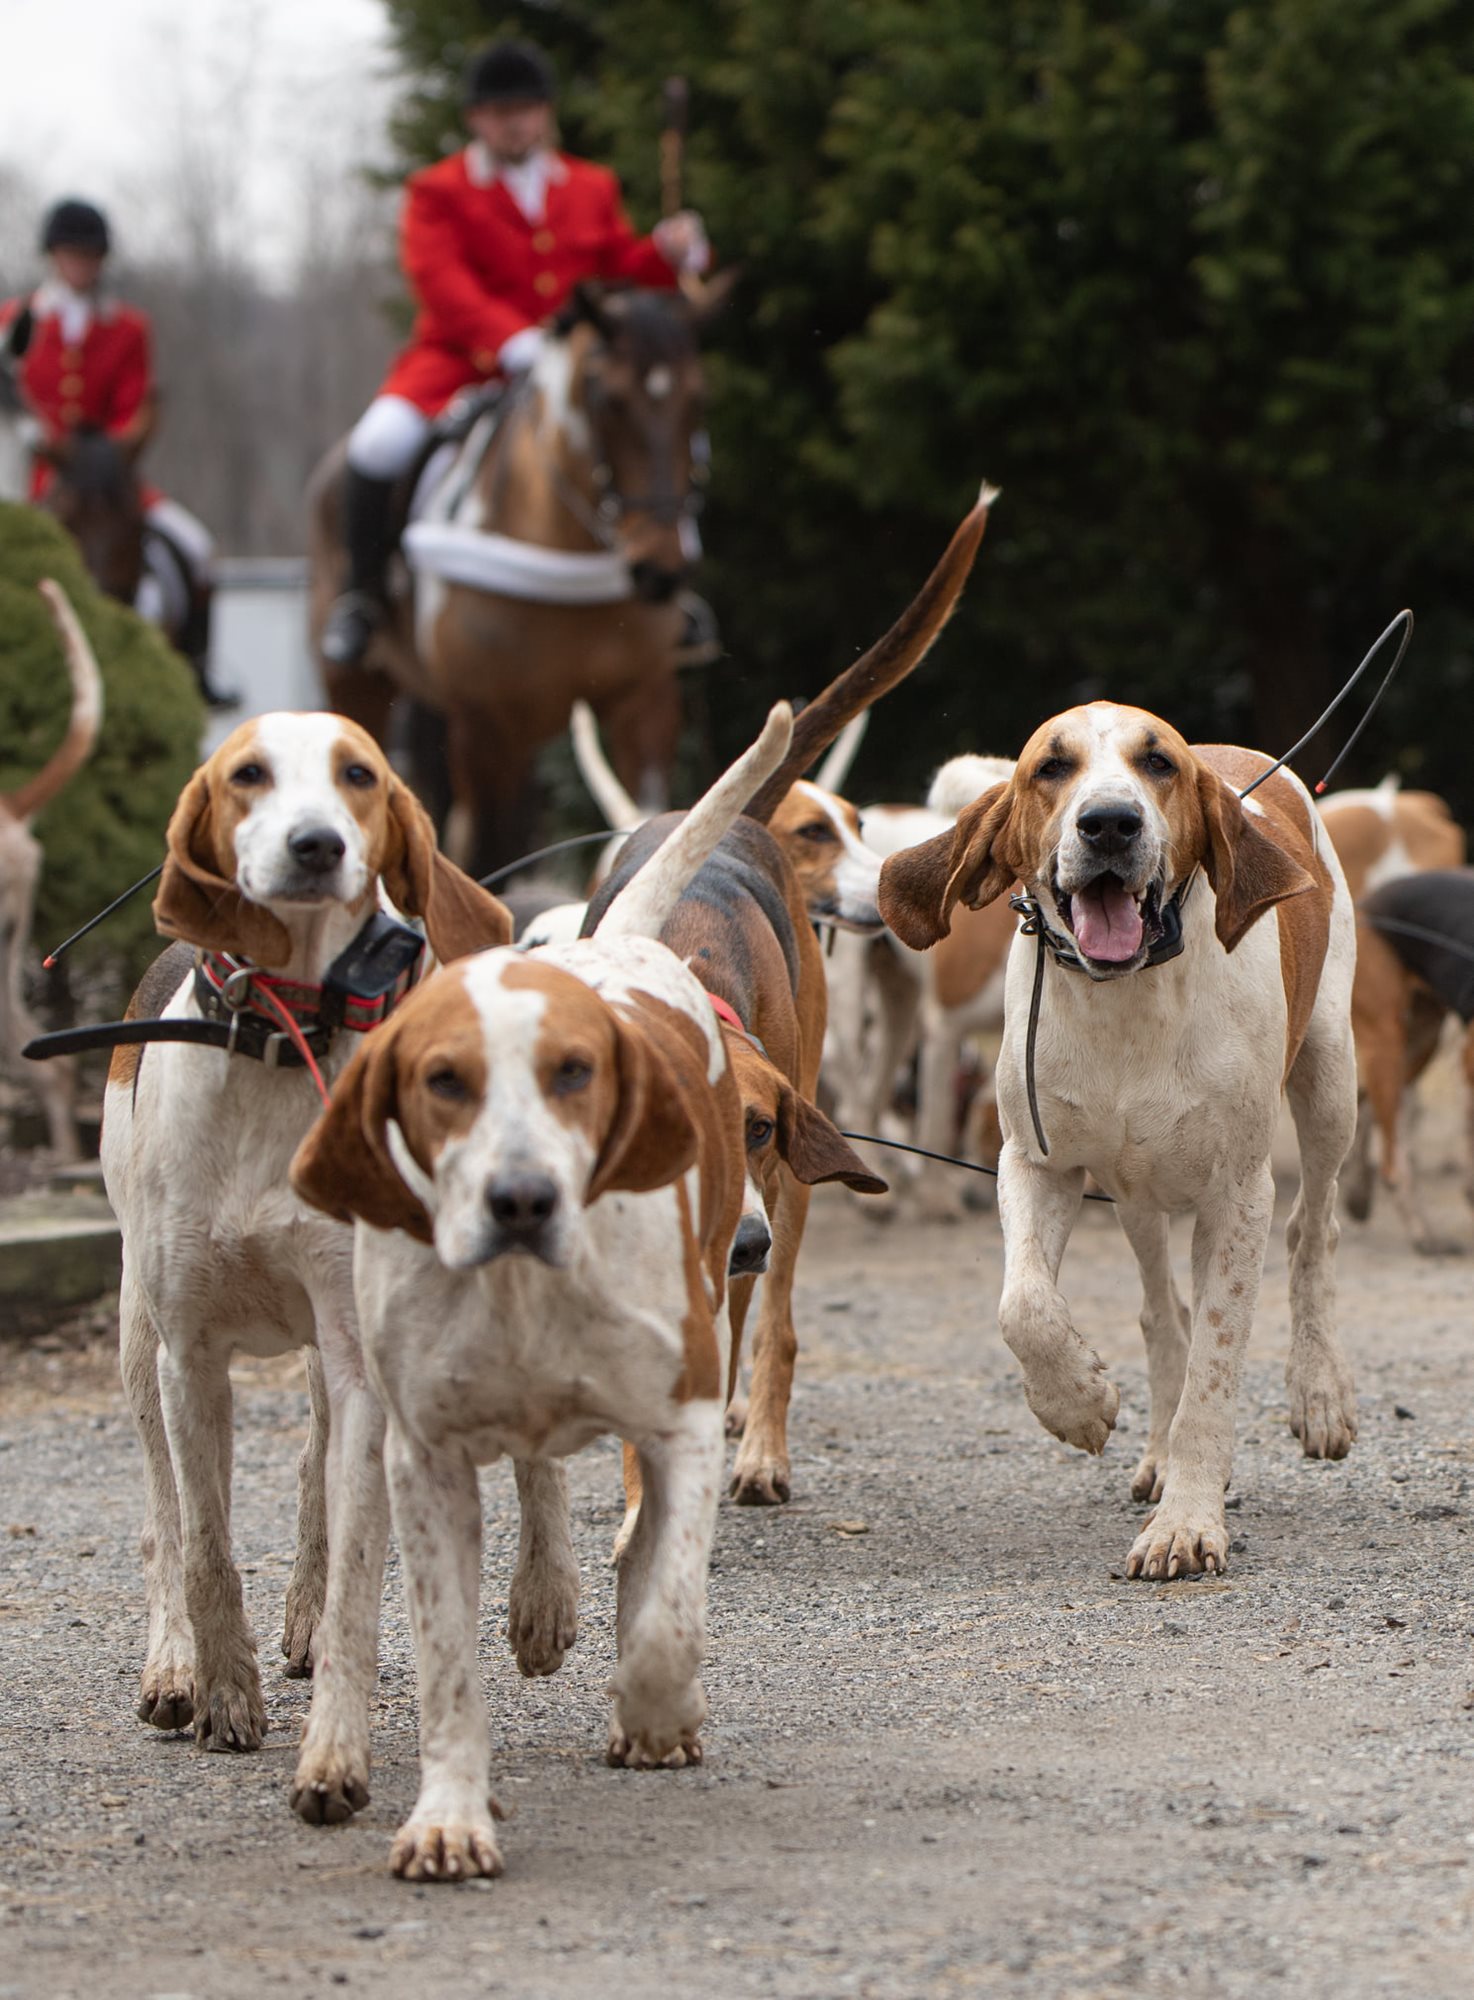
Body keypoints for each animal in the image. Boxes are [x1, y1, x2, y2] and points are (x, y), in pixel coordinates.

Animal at [310, 284, 712, 876]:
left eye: (696, 401)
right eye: (610, 401)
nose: (660, 569)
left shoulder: (646, 699)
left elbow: (651, 813)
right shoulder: (486, 726)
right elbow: (492, 854)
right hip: (360, 687)